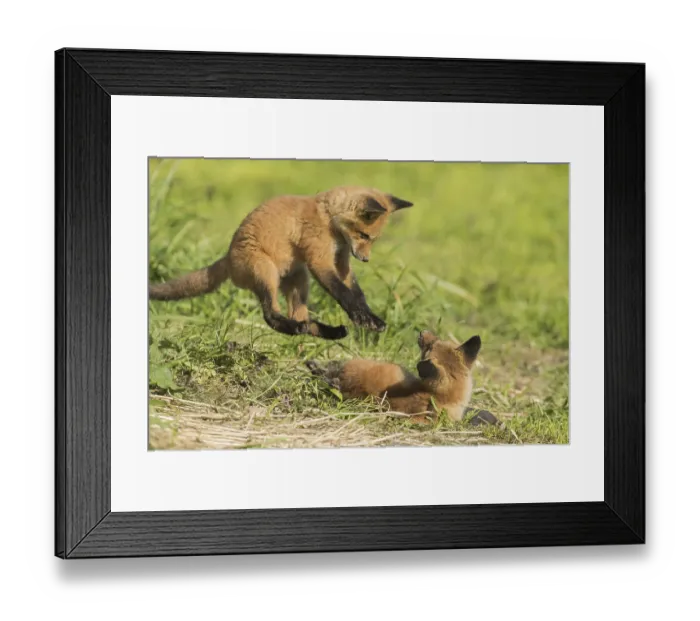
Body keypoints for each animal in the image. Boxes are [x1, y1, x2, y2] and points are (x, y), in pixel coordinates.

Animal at [149, 186, 413, 340]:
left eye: (373, 240)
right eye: (364, 235)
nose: (366, 259)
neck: (328, 219)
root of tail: (228, 258)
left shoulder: (342, 261)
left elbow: (357, 293)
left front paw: (370, 317)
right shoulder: (319, 260)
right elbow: (343, 293)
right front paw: (360, 316)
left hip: (299, 280)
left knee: (301, 318)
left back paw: (328, 331)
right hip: (267, 274)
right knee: (270, 316)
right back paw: (294, 328)